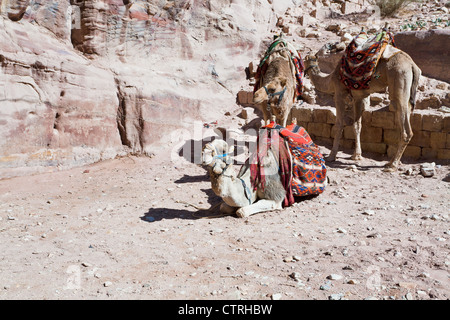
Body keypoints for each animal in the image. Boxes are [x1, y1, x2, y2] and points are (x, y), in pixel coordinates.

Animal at [302, 36, 422, 171]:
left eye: (304, 60)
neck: (331, 78)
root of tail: (412, 65)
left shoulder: (339, 93)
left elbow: (339, 124)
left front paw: (332, 156)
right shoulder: (359, 98)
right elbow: (357, 125)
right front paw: (357, 155)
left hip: (399, 80)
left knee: (405, 127)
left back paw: (393, 165)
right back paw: (390, 162)